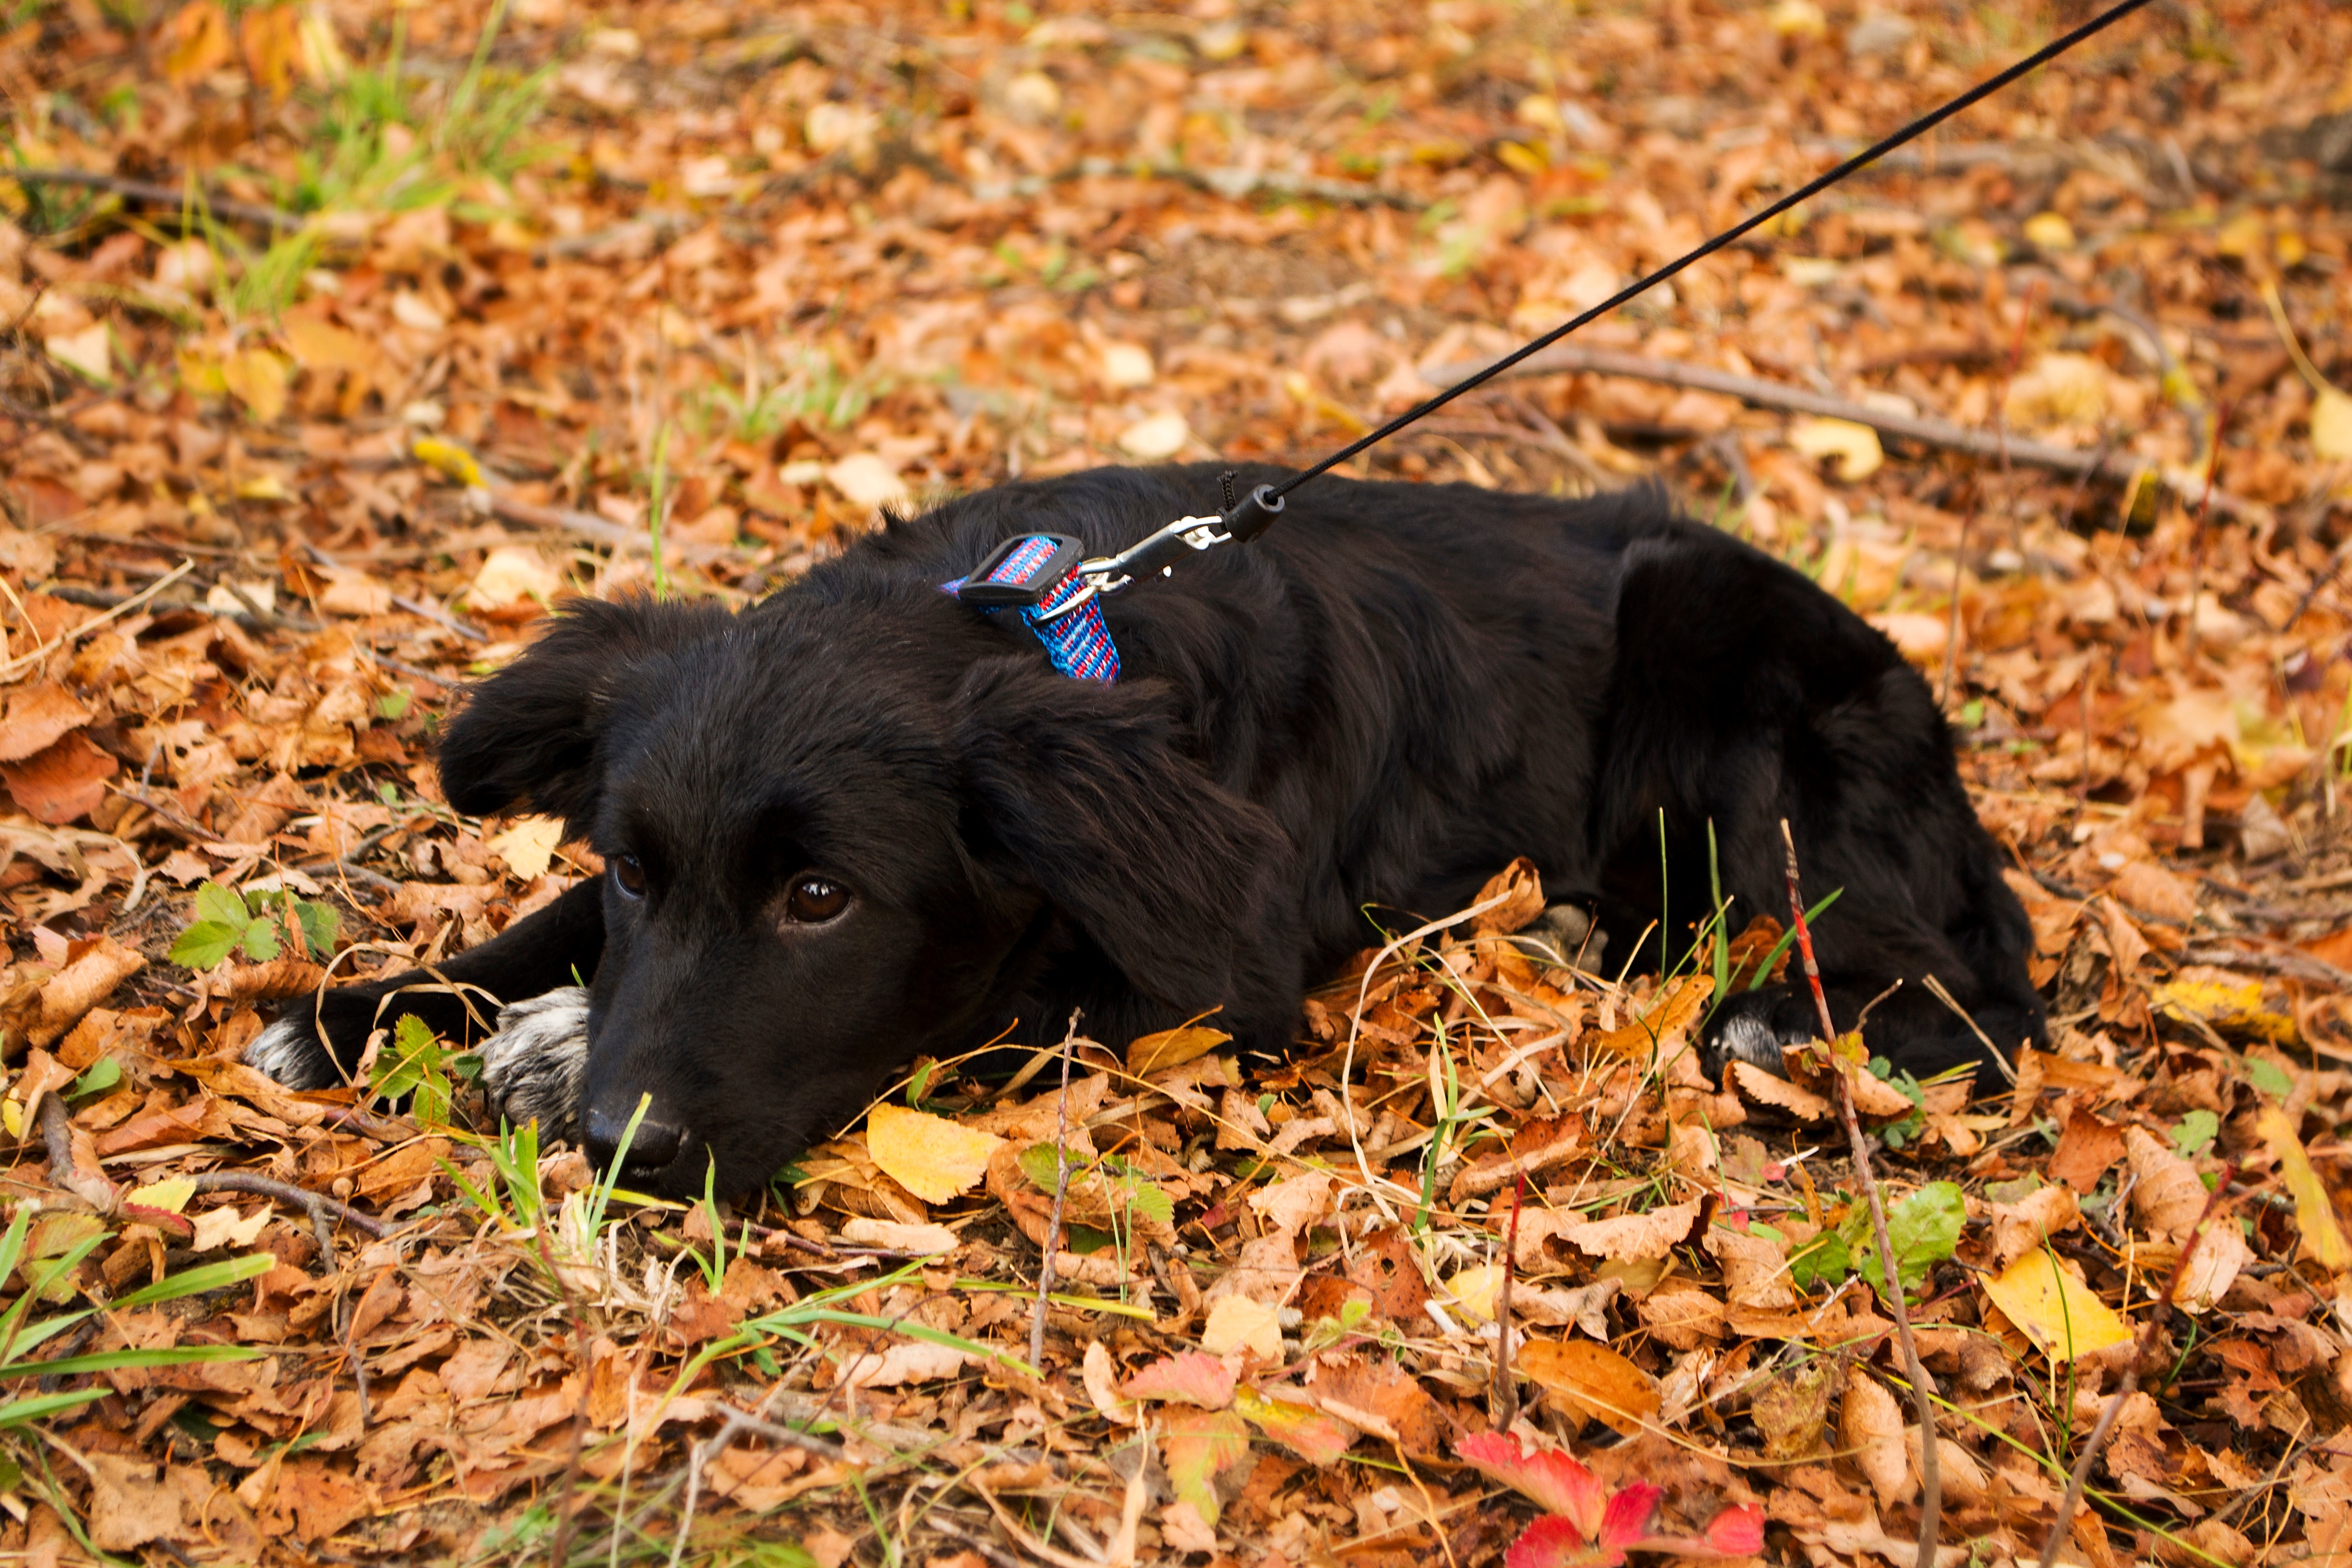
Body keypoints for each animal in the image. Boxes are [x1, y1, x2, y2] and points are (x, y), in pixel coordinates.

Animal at [253, 460, 2041, 1194]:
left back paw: (1767, 1016)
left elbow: (971, 1012)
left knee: (1968, 998)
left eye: (824, 901)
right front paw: (364, 1013)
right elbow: (543, 928)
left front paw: (550, 1048)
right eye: (636, 867)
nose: (624, 1145)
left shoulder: (1216, 978)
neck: (1060, 625)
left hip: (1719, 665)